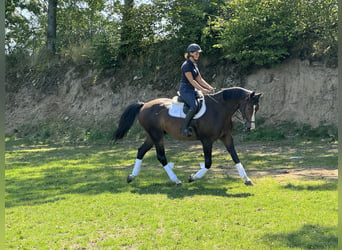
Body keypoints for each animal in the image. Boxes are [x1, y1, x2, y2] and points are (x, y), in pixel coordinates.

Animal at [113, 87, 262, 185]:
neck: (220, 109)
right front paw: (192, 177)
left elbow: (235, 157)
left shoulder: (227, 137)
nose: (250, 128)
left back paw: (131, 177)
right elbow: (208, 163)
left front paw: (247, 179)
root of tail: (144, 105)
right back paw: (176, 180)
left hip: (152, 136)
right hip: (156, 135)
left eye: (257, 109)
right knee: (161, 157)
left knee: (141, 151)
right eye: (250, 108)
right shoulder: (207, 140)